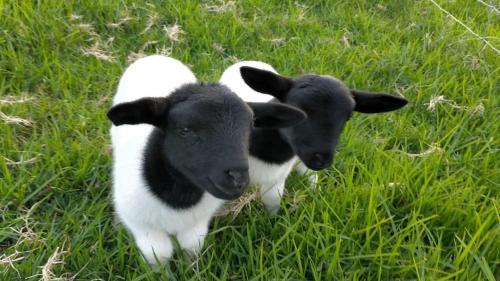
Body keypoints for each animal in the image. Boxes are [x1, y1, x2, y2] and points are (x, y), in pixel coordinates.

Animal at [107, 55, 306, 264]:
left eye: (251, 124)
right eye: (185, 129)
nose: (238, 179)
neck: (179, 196)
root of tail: (156, 56)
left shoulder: (196, 224)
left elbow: (191, 248)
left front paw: (191, 268)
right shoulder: (144, 228)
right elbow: (159, 255)